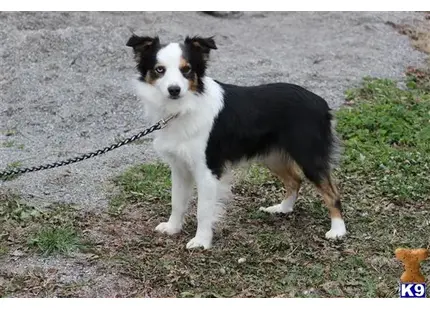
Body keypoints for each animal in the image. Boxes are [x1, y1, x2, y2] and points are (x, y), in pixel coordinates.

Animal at [125, 34, 346, 249]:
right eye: (159, 70)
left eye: (186, 69)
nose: (174, 90)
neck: (185, 107)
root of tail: (321, 102)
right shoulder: (180, 167)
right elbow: (177, 201)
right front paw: (172, 228)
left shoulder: (208, 169)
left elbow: (203, 210)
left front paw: (201, 241)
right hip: (273, 155)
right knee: (295, 180)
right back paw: (282, 208)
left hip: (308, 156)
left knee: (332, 193)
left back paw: (338, 230)